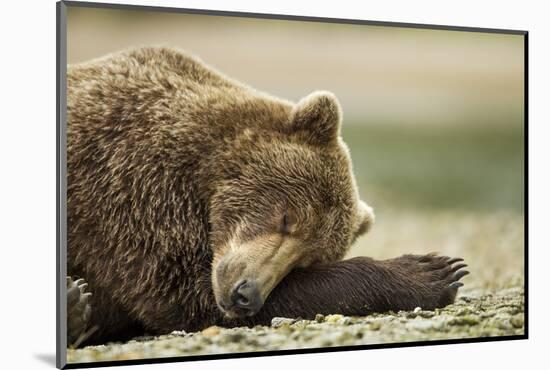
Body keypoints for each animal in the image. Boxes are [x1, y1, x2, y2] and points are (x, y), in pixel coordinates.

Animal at [66, 47, 470, 346]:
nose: (246, 294)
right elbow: (180, 293)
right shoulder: (130, 189)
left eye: (306, 259)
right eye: (287, 217)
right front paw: (432, 271)